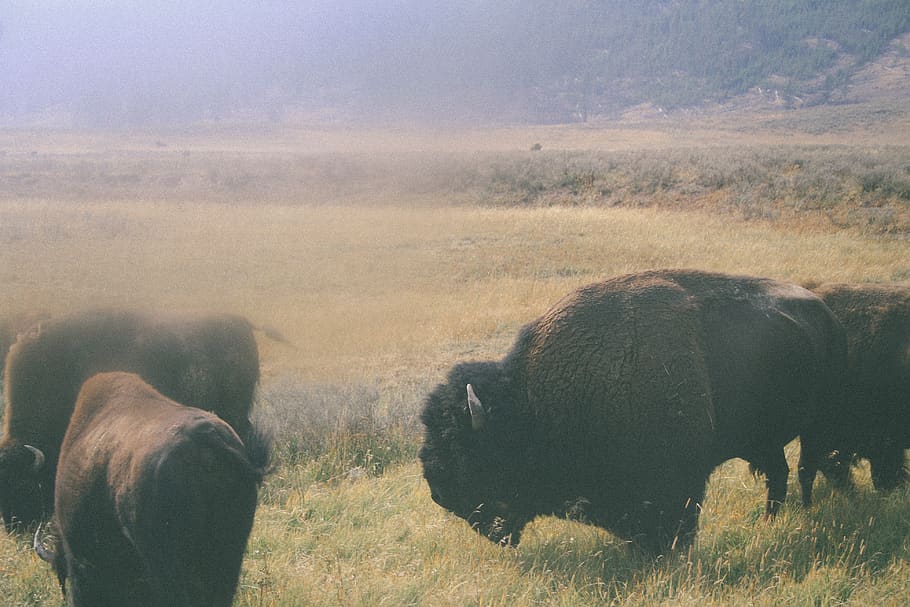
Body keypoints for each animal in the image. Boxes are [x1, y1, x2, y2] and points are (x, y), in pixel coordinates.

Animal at [420, 269, 848, 553]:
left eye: (465, 451)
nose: (438, 493)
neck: (534, 407)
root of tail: (826, 312)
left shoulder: (678, 483)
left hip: (821, 424)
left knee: (813, 465)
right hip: (765, 439)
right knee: (779, 473)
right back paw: (770, 521)